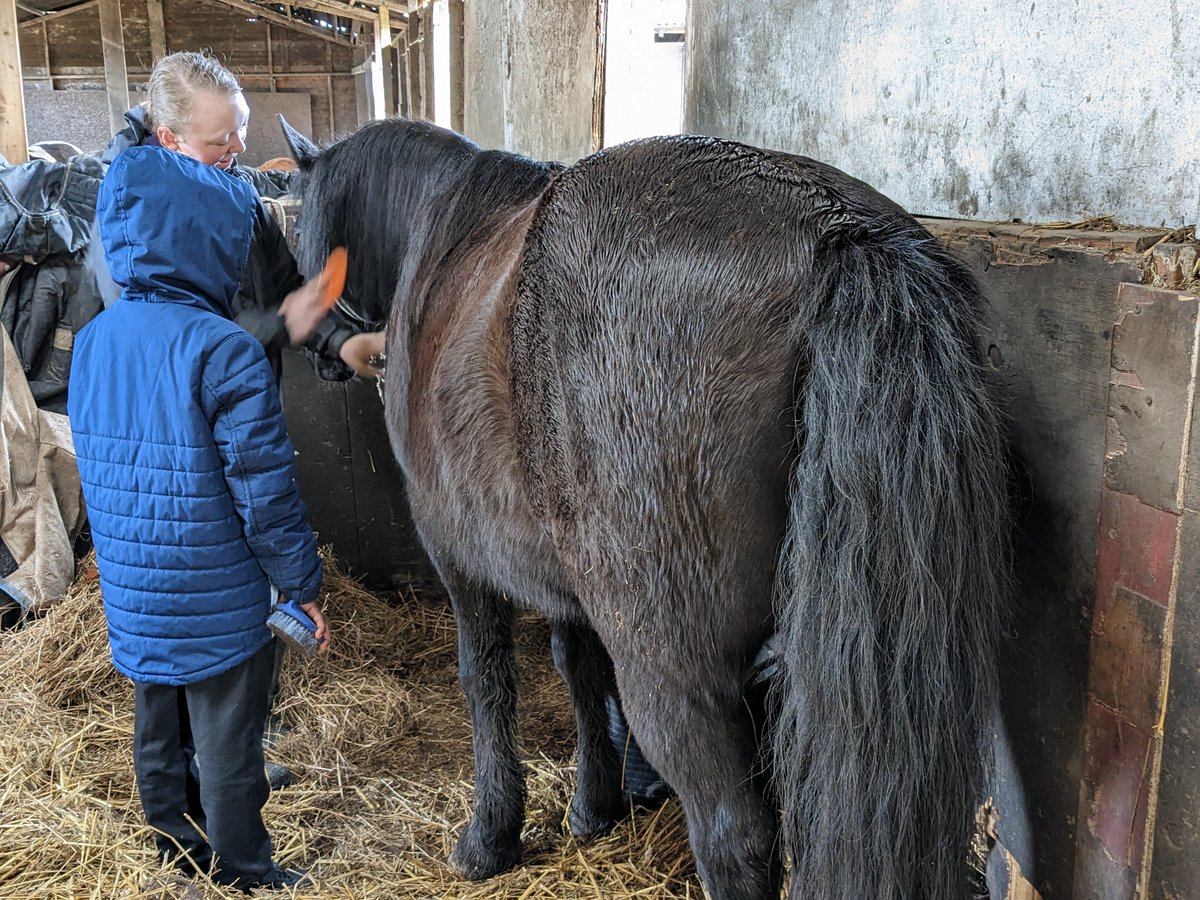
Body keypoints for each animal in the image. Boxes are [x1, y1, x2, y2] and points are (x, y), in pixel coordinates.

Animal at [280, 116, 1011, 900]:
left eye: (303, 237)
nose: (318, 352)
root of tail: (837, 231)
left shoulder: (458, 560)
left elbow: (486, 681)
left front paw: (489, 837)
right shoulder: (568, 586)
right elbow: (578, 668)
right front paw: (593, 805)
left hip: (672, 665)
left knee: (734, 834)